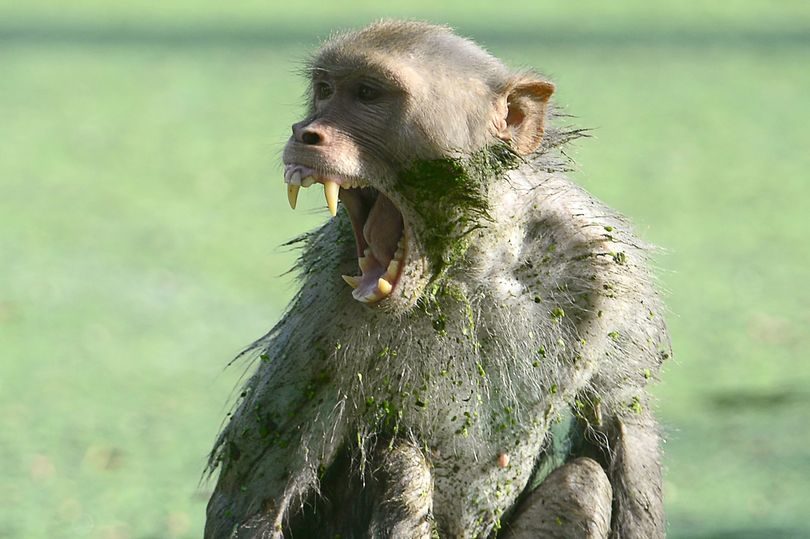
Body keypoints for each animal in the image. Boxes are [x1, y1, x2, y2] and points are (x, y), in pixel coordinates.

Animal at [205, 20, 670, 539]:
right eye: (324, 91)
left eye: (367, 94)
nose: (304, 132)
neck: (474, 264)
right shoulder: (328, 298)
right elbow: (262, 487)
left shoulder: (609, 270)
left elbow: (622, 421)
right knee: (404, 467)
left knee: (585, 481)